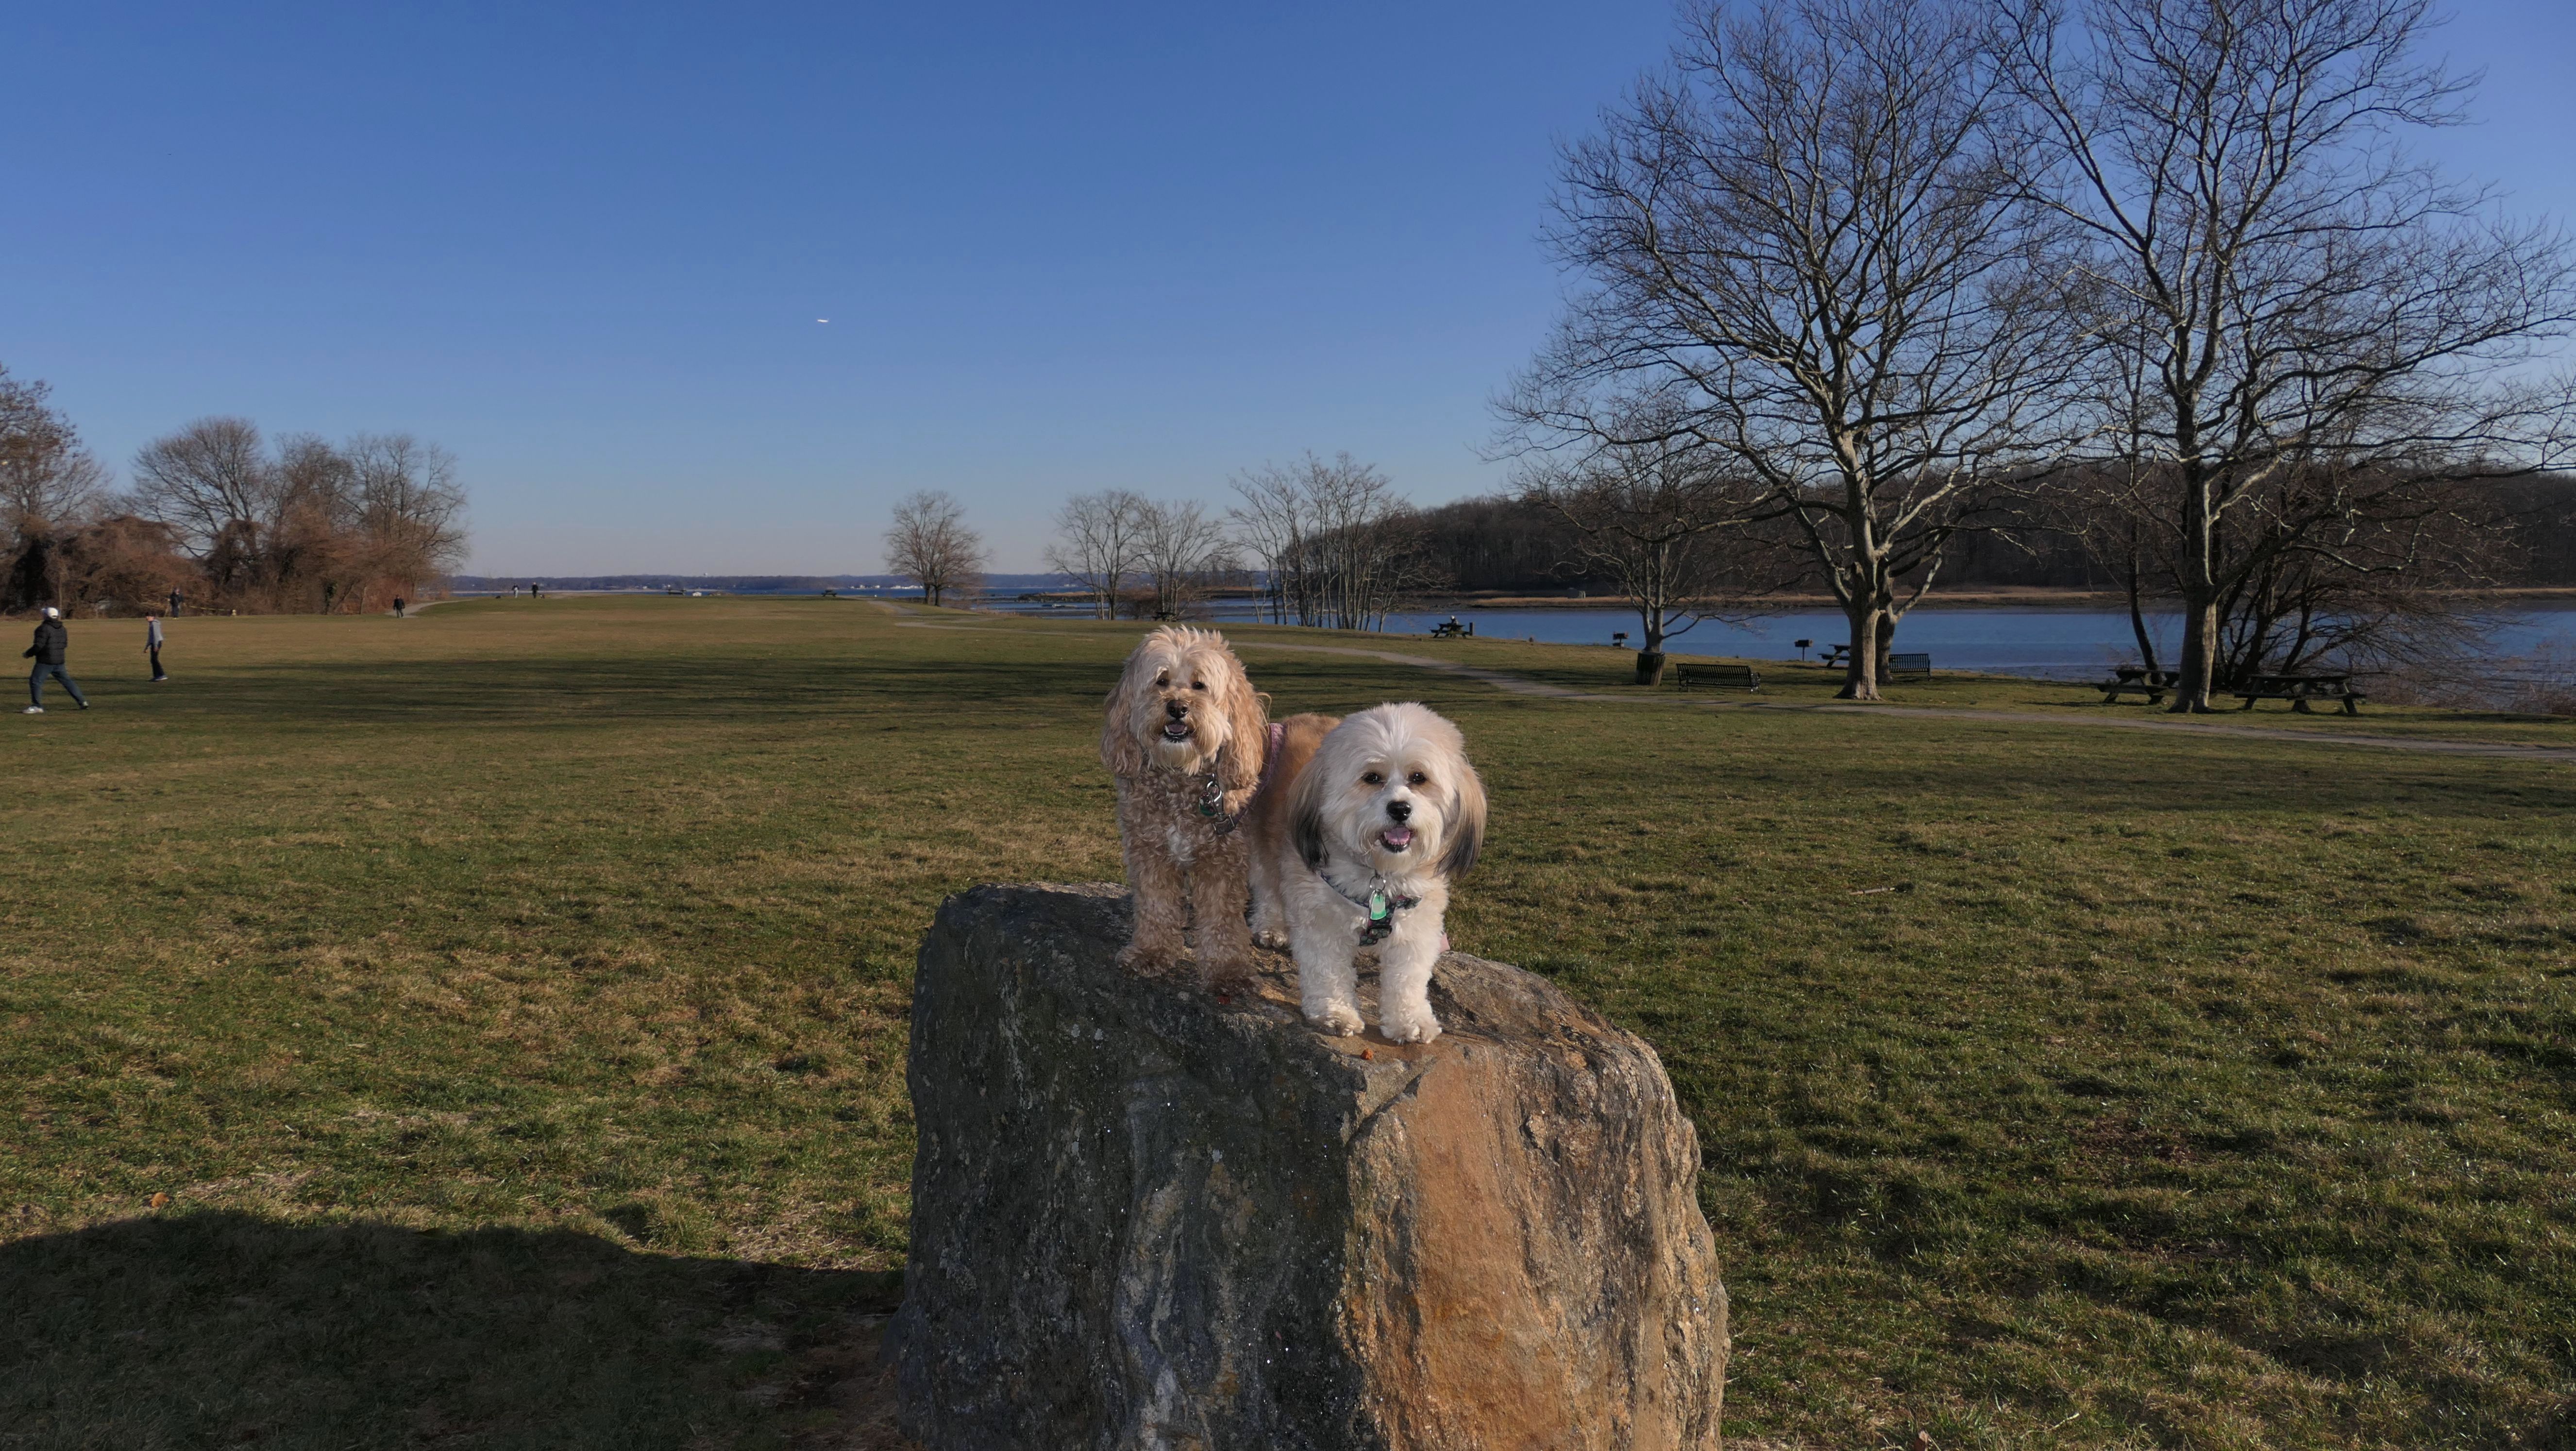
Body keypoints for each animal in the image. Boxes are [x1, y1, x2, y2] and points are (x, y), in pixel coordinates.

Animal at [1100, 626, 1276, 987]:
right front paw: (1151, 953)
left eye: (1199, 685)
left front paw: (1228, 969)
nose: (1177, 708)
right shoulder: (1149, 851)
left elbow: (1222, 918)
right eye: (1161, 681)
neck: (1180, 777)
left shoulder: (1224, 859)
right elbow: (1156, 904)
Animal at [1243, 703, 1486, 1043]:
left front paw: (1411, 1019)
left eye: (1419, 777)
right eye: (1372, 778)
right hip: (1262, 839)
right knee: (1267, 885)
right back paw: (1271, 927)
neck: (1379, 875)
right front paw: (1335, 1014)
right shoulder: (1319, 917)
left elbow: (1408, 977)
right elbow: (1327, 970)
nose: (1400, 809)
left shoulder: (1418, 922)